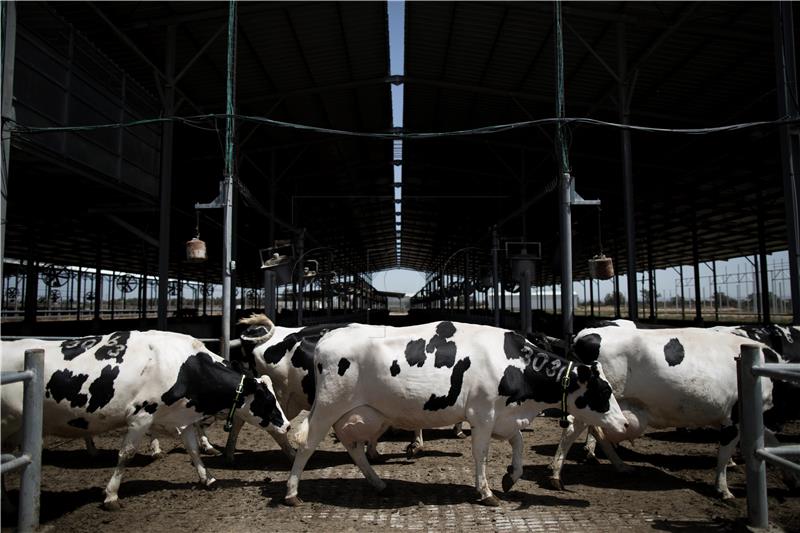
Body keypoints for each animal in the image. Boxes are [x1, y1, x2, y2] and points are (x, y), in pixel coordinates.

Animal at [1, 330, 290, 510]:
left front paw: (208, 478)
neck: (182, 366)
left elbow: (193, 449)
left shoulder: (181, 416)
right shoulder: (142, 415)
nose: (287, 425)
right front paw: (111, 496)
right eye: (266, 399)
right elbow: (126, 454)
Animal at [284, 320, 628, 502]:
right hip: (328, 406)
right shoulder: (483, 414)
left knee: (352, 446)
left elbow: (518, 442)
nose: (624, 424)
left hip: (362, 413)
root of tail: (330, 335)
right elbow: (481, 453)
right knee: (307, 445)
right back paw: (291, 492)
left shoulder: (503, 416)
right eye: (603, 391)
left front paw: (511, 477)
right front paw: (486, 492)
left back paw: (378, 483)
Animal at [552, 324, 776, 498]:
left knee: (594, 431)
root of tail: (583, 335)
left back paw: (619, 466)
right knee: (575, 427)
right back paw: (557, 474)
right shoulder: (735, 415)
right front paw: (723, 489)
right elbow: (724, 452)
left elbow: (768, 441)